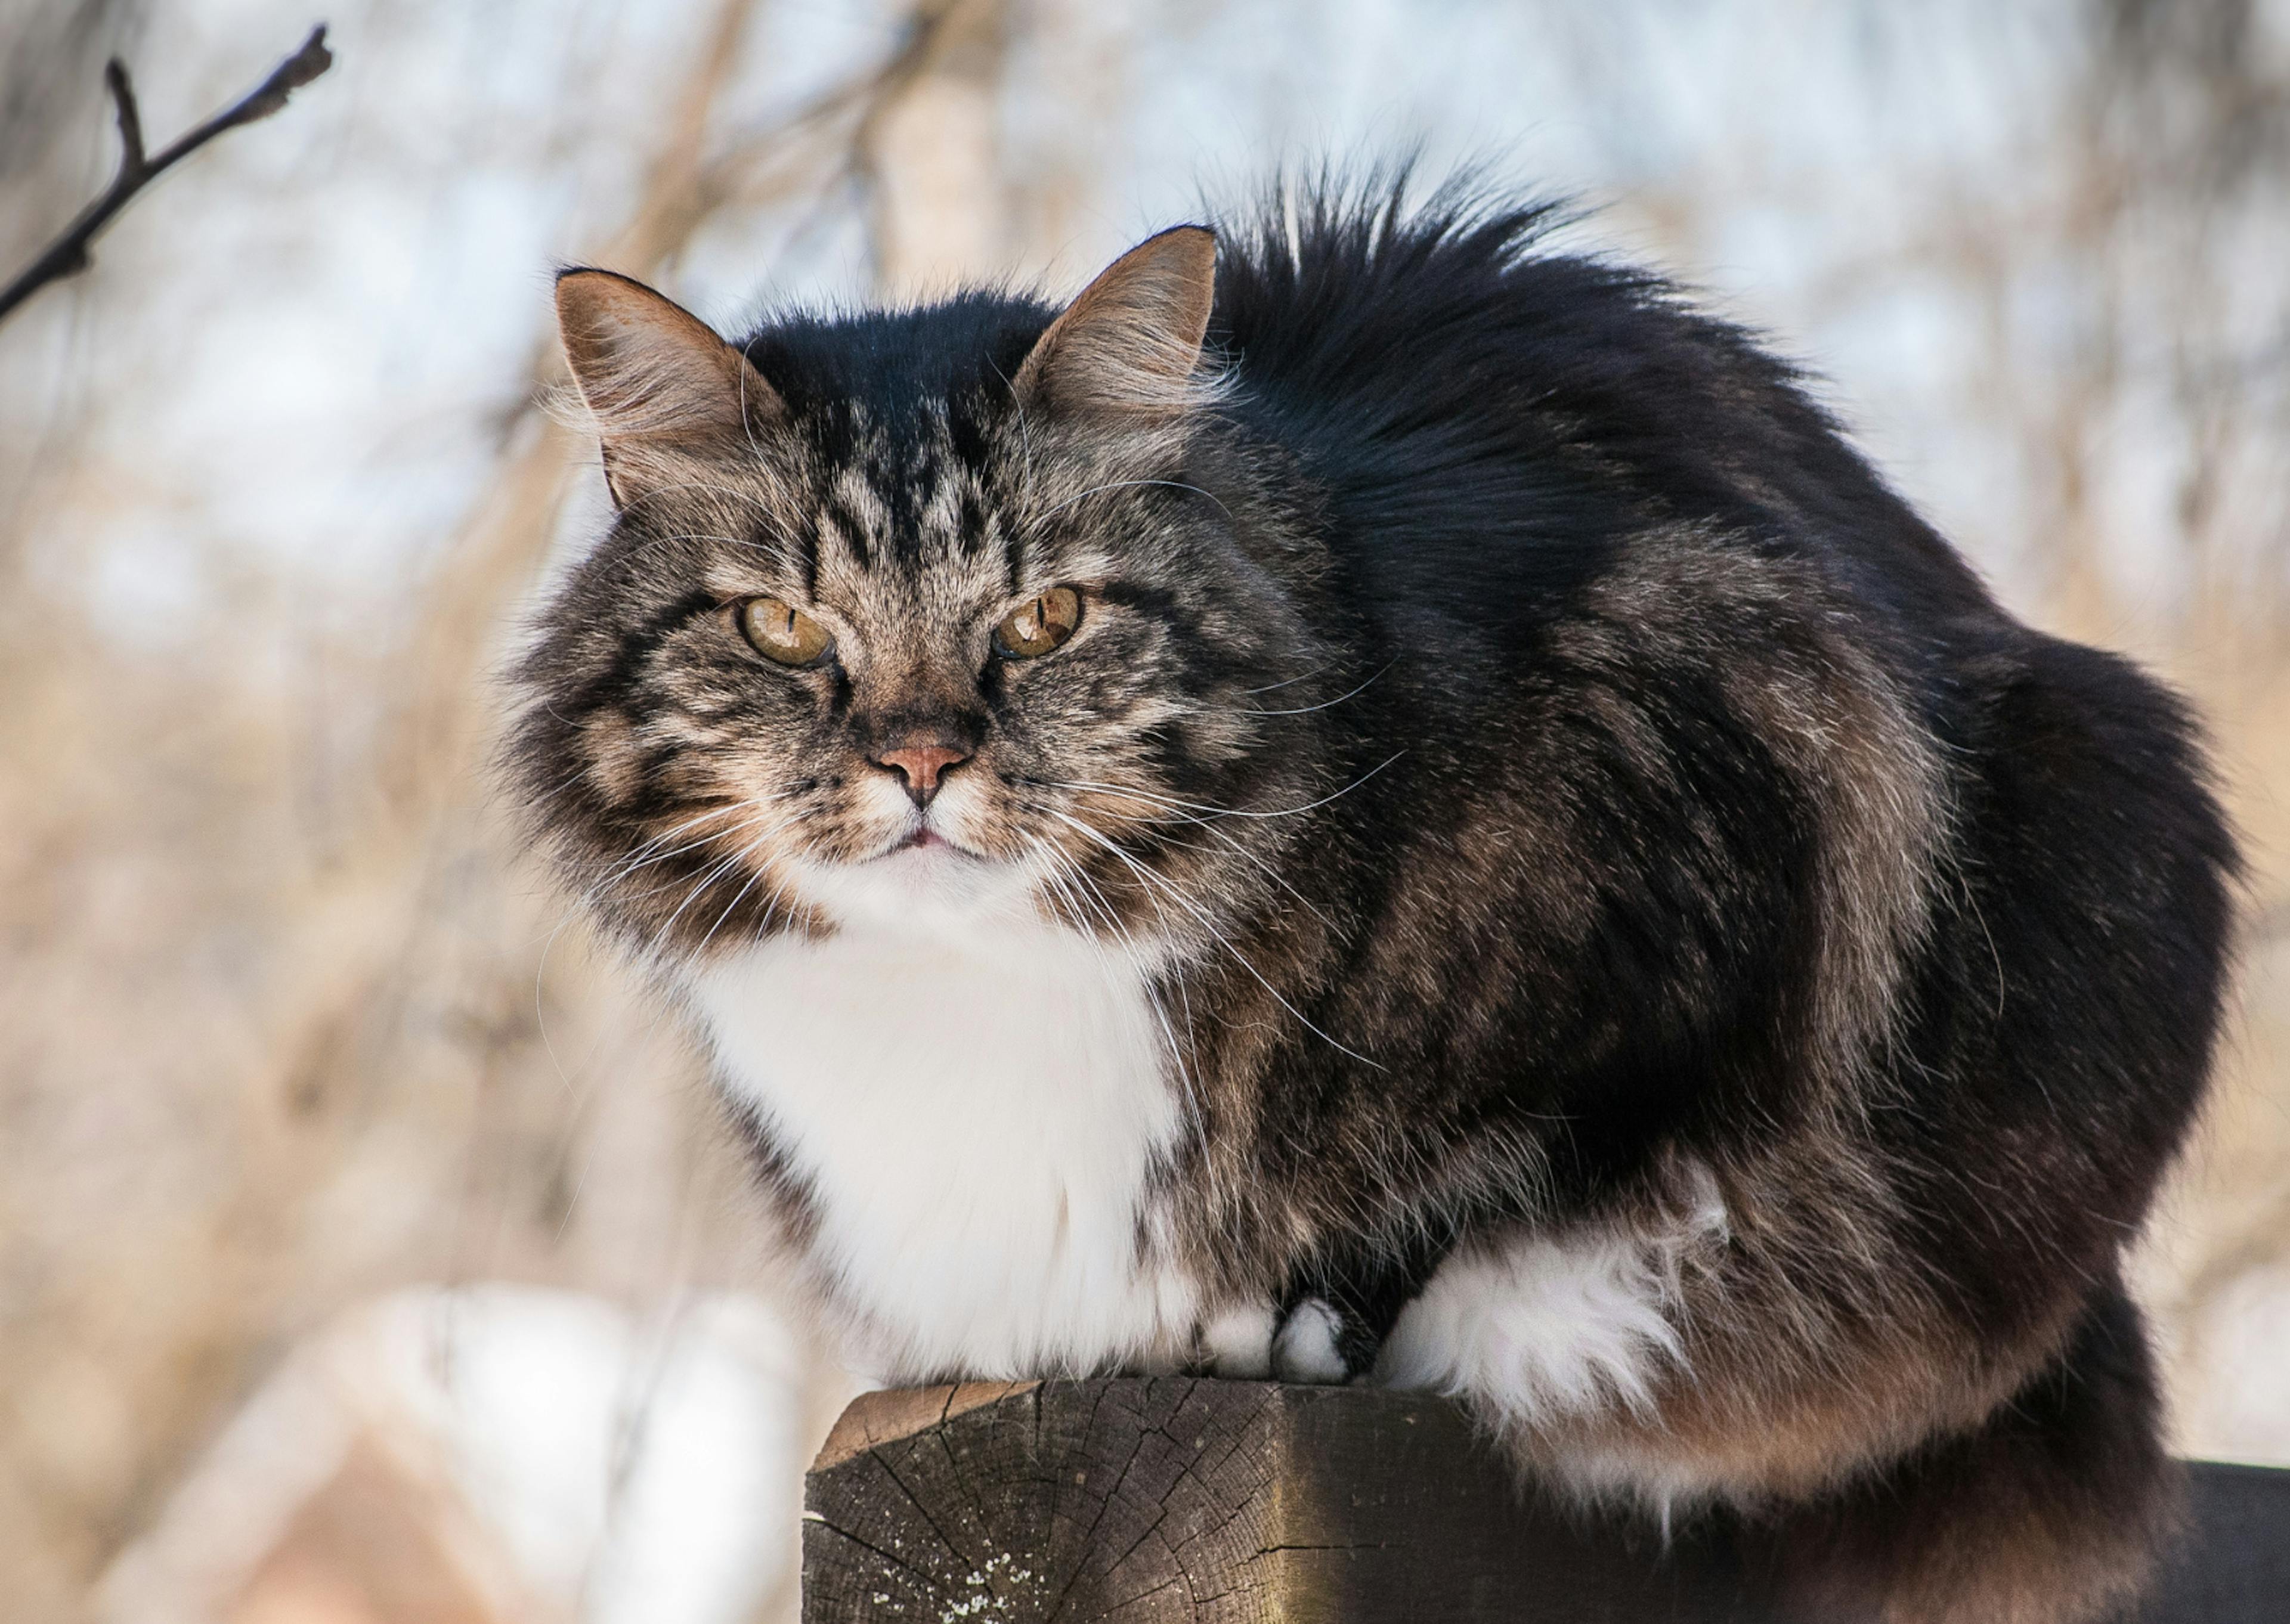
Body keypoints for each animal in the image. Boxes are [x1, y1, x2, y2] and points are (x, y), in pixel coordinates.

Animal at [506, 177, 2235, 1622]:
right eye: (788, 629)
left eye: (1047, 619)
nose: (921, 759)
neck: (974, 995)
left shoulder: (1742, 787)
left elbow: (1506, 1175)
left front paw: (1302, 1321)